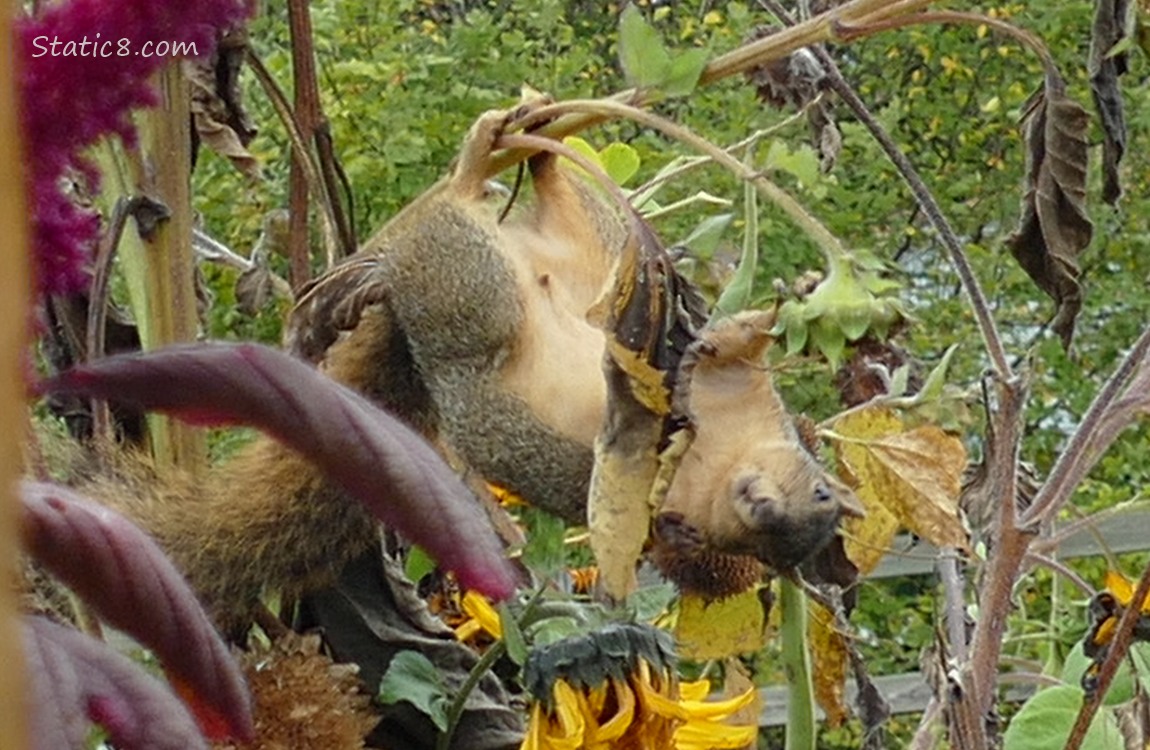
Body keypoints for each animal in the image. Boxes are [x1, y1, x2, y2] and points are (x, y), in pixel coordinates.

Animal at [71, 106, 860, 625]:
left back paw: (473, 167)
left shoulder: (665, 512)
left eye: (773, 541)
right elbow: (732, 348)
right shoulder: (749, 404)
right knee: (560, 199)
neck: (723, 457)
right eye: (822, 493)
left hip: (463, 287)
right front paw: (750, 323)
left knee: (456, 228)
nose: (762, 505)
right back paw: (522, 149)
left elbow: (650, 493)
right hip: (584, 252)